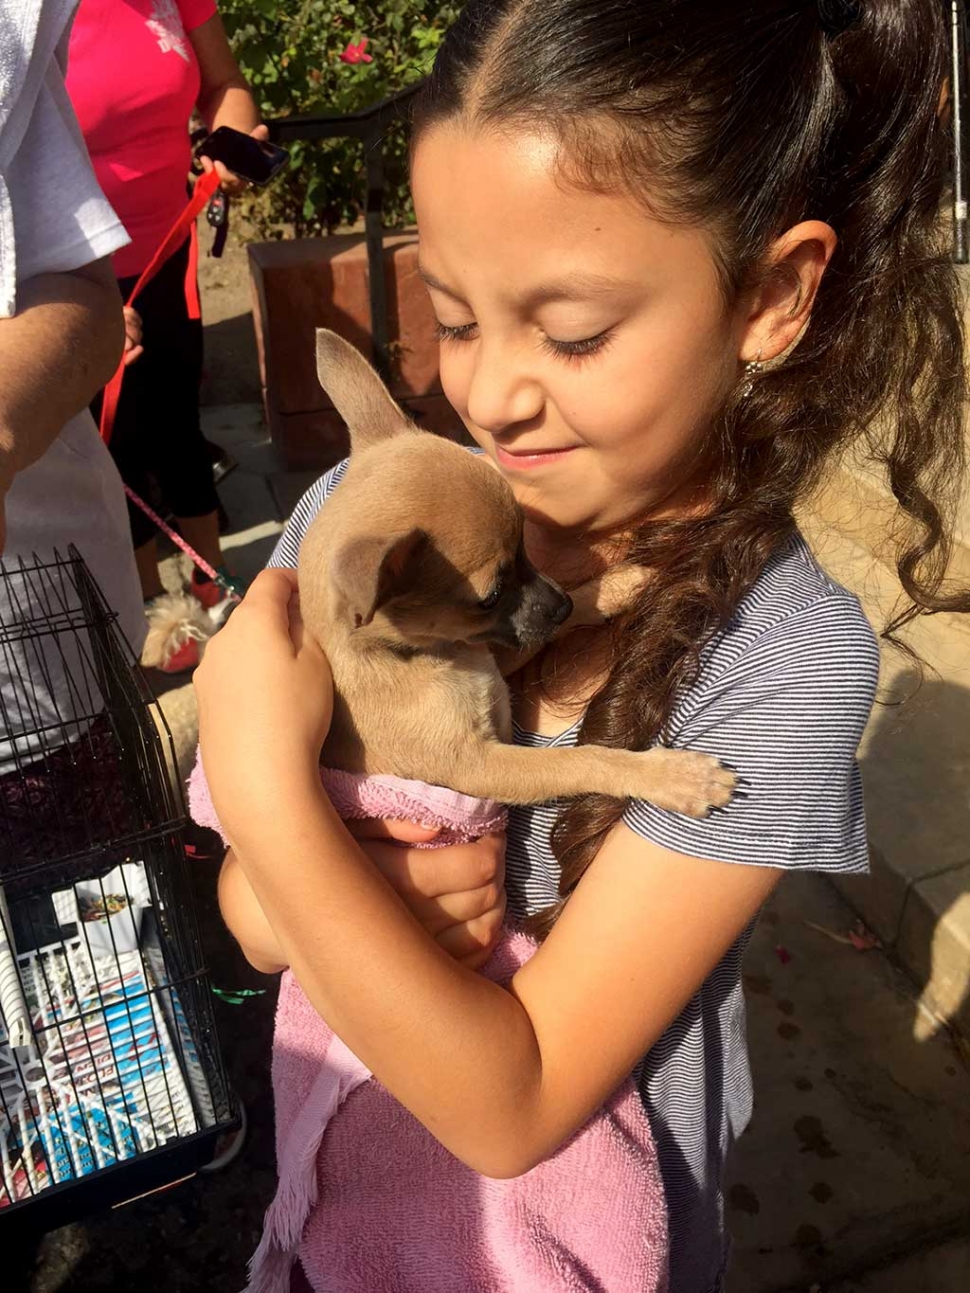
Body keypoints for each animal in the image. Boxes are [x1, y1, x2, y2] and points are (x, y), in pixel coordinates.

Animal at [298, 333, 734, 817]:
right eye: (490, 597)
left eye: (526, 546)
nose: (562, 605)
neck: (428, 653)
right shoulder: (481, 767)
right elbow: (582, 761)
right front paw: (672, 776)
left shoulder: (495, 660)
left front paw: (612, 588)